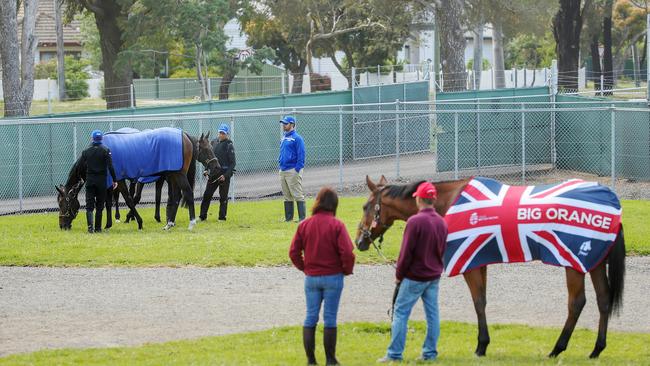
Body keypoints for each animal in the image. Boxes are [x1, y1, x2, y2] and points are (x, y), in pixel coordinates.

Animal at [354, 176, 624, 358]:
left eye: (365, 206)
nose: (359, 241)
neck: (448, 202)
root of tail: (611, 202)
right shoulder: (478, 260)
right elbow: (482, 300)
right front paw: (483, 344)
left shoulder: (469, 262)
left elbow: (478, 302)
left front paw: (481, 345)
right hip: (594, 261)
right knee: (603, 300)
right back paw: (596, 349)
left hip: (573, 260)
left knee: (577, 303)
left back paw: (557, 349)